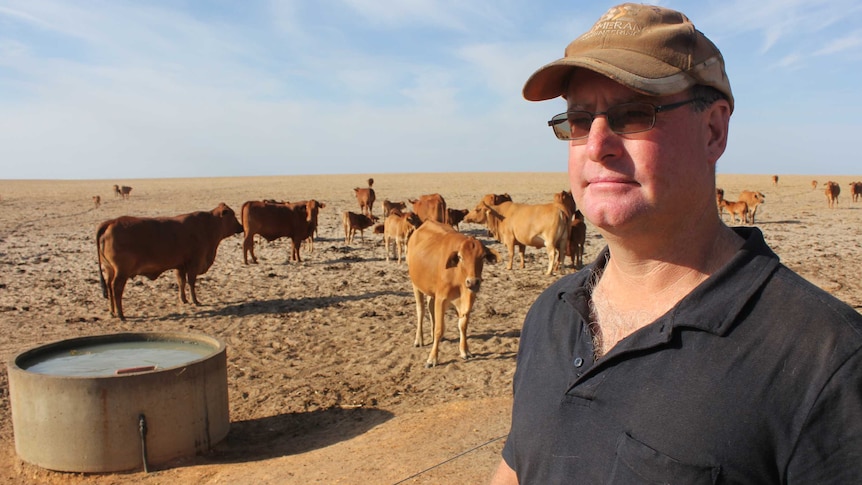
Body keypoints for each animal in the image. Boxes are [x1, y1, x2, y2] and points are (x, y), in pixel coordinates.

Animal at [97, 202, 243, 320]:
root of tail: (111, 222)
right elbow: (191, 282)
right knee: (116, 289)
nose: (241, 227)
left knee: (109, 287)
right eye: (233, 215)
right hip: (121, 273)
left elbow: (181, 282)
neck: (208, 225)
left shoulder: (180, 266)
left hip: (109, 270)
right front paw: (195, 300)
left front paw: (184, 299)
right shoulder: (194, 264)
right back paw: (121, 314)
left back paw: (112, 311)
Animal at [408, 219, 502, 366]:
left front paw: (465, 351)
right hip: (416, 285)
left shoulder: (469, 299)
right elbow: (439, 329)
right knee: (421, 310)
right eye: (460, 257)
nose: (473, 282)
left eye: (483, 257)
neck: (458, 277)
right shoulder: (441, 299)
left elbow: (462, 326)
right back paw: (419, 339)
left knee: (429, 307)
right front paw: (432, 358)